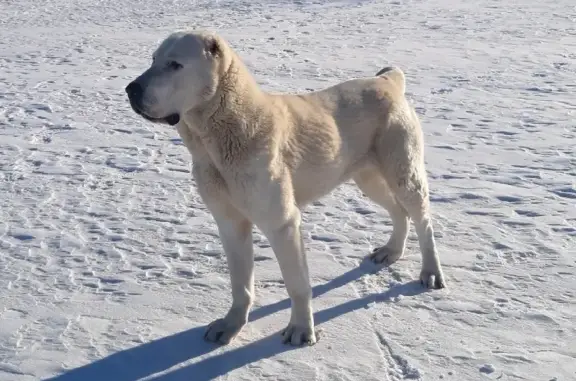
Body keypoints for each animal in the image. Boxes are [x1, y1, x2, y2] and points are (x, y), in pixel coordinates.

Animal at [128, 30, 448, 344]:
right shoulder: (230, 222)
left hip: (403, 173)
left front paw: (301, 330)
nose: (131, 89)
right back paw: (391, 252)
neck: (219, 138)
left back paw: (431, 272)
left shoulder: (282, 223)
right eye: (153, 60)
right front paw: (231, 325)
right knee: (398, 212)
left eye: (175, 65)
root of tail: (387, 80)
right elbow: (240, 283)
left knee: (423, 221)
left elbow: (297, 284)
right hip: (367, 178)